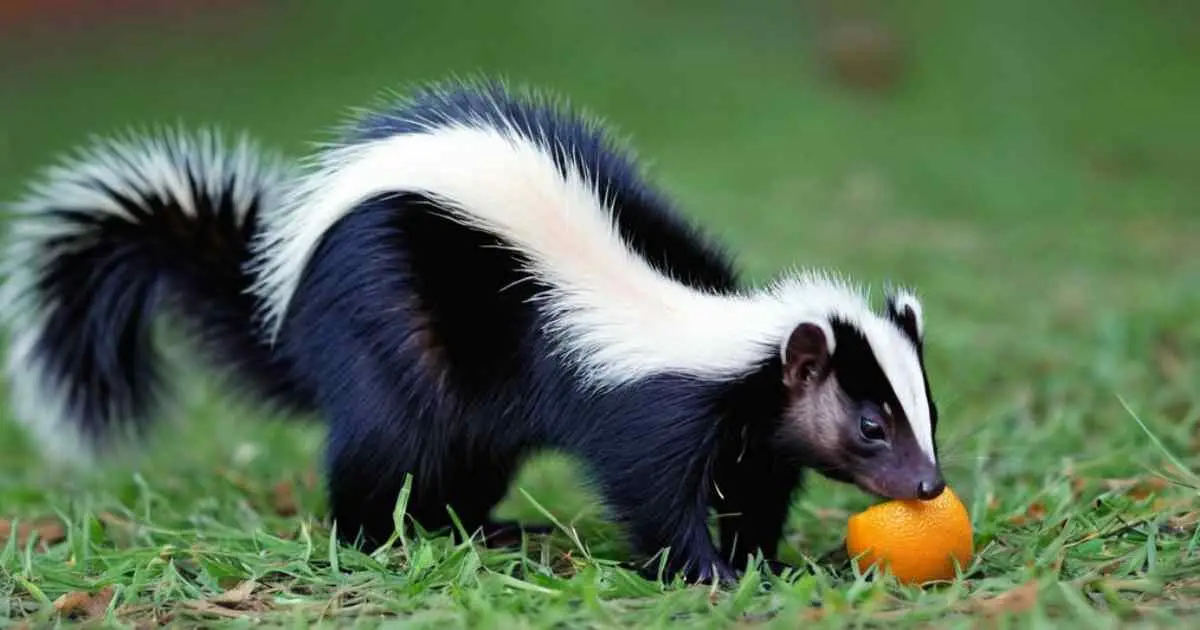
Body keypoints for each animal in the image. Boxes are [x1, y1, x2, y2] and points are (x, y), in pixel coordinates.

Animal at [0, 81, 940, 583]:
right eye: (871, 424)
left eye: (925, 412)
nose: (929, 485)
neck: (720, 334)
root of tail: (288, 317)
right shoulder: (650, 411)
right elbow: (654, 495)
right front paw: (703, 570)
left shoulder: (755, 426)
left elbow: (758, 485)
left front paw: (758, 560)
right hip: (390, 335)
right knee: (386, 446)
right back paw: (376, 537)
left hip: (475, 407)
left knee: (468, 460)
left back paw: (480, 528)